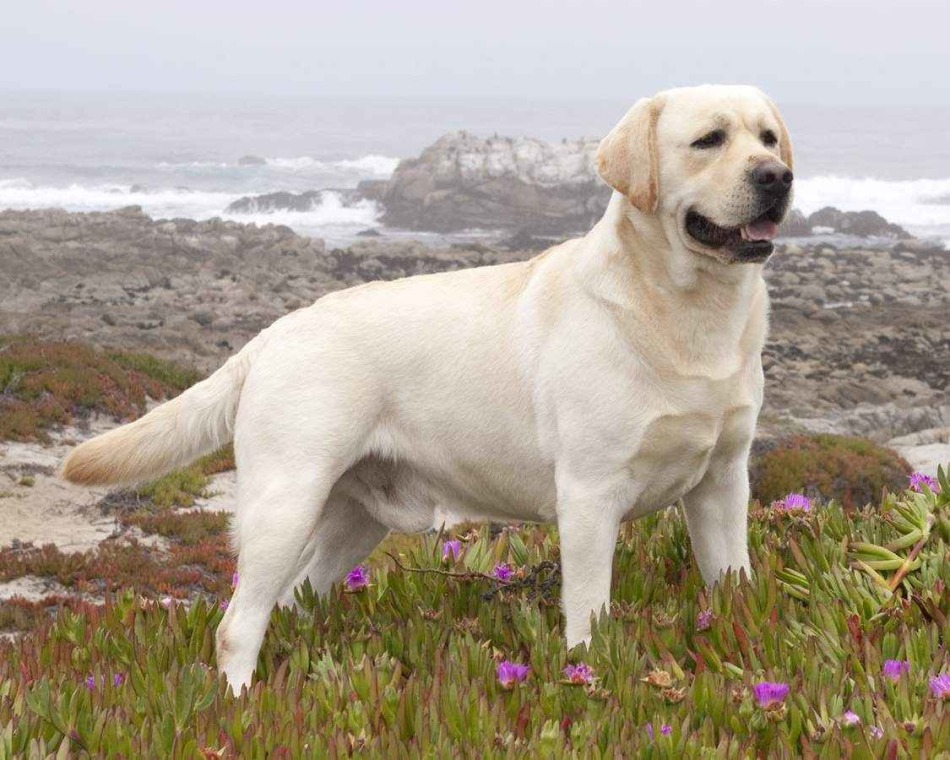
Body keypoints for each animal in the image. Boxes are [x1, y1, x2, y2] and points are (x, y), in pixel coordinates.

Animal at [63, 84, 796, 696]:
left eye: (767, 137)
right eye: (709, 139)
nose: (778, 177)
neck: (688, 313)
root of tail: (273, 333)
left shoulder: (723, 482)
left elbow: (733, 580)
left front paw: (742, 639)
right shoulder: (590, 495)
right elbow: (589, 612)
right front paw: (587, 673)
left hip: (353, 519)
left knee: (295, 598)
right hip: (285, 502)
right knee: (236, 622)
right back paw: (240, 705)